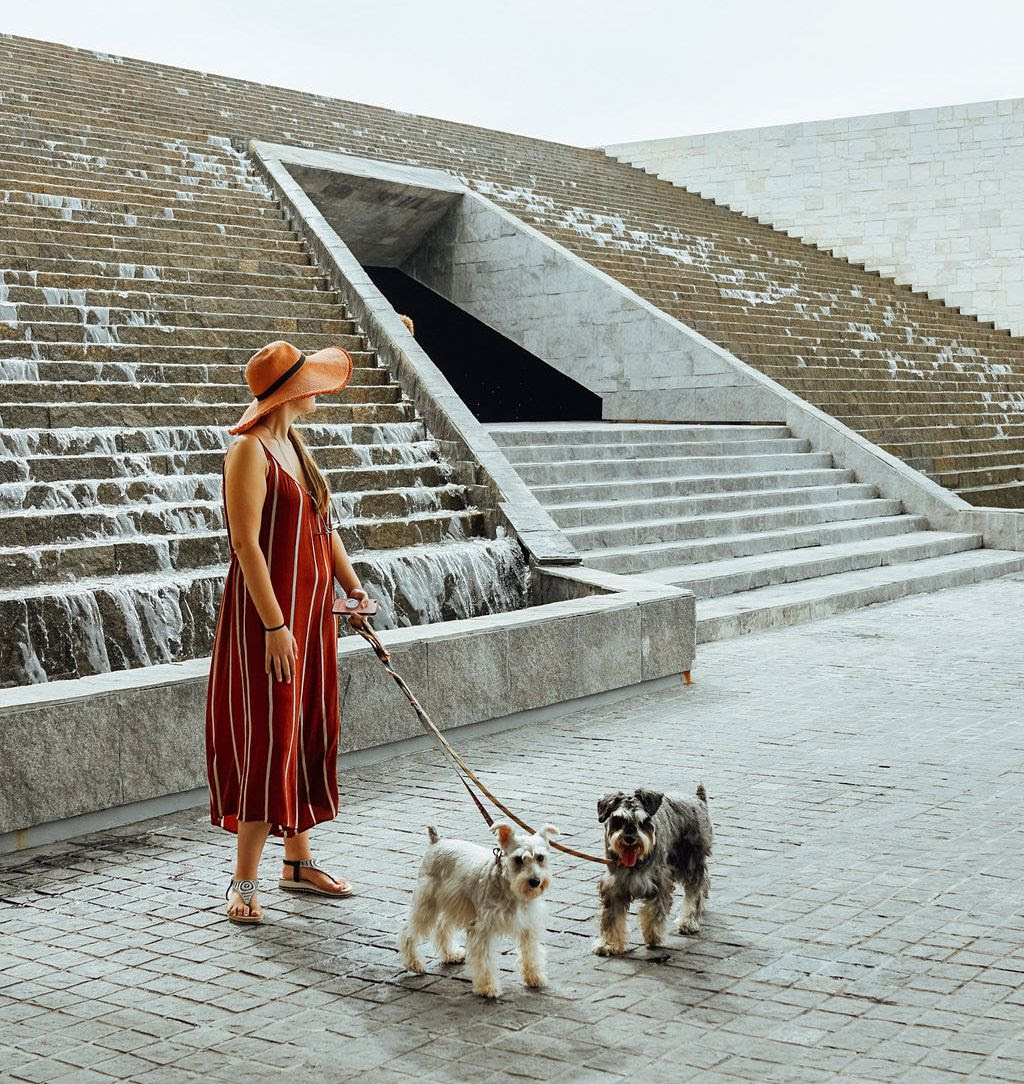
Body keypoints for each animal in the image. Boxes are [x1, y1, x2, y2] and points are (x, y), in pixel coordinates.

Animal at [398, 819, 559, 997]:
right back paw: (414, 964)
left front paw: (534, 977)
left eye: (541, 857)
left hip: (454, 904)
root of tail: (436, 841)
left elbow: (531, 952)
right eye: (518, 859)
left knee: (442, 926)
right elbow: (484, 960)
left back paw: (451, 954)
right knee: (408, 932)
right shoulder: (483, 929)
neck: (507, 886)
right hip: (426, 904)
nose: (535, 881)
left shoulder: (528, 924)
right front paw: (488, 987)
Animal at [589, 784, 710, 953]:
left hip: (691, 862)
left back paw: (688, 921)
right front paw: (608, 944)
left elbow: (654, 912)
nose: (630, 838)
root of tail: (698, 800)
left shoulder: (659, 883)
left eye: (643, 821)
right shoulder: (613, 887)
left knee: (695, 890)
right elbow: (611, 918)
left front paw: (653, 936)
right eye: (618, 820)